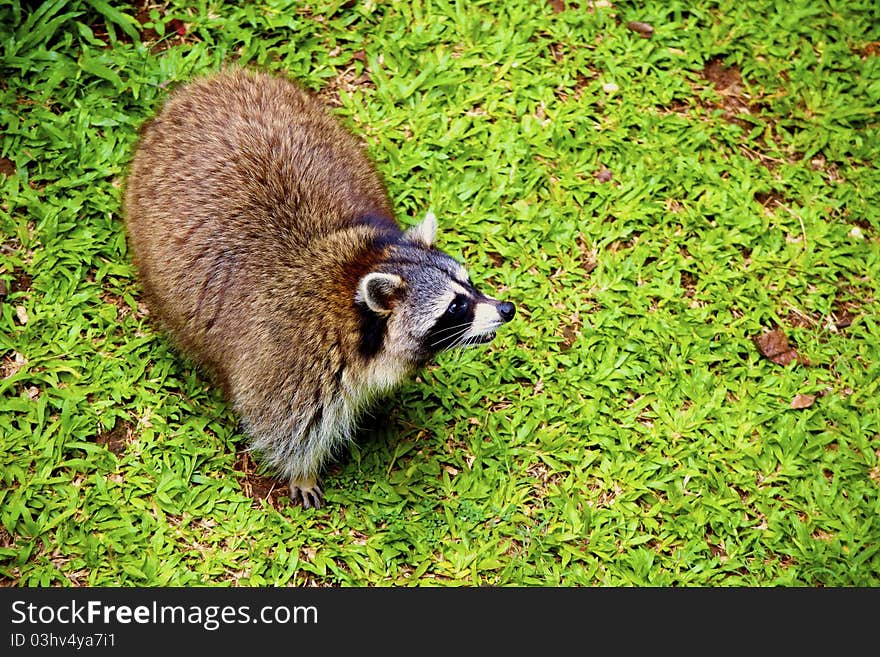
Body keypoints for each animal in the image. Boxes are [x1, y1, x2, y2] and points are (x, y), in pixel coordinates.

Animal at [120, 68, 512, 508]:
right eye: (456, 307)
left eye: (470, 284)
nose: (506, 309)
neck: (355, 271)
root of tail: (210, 81)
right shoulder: (294, 360)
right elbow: (281, 425)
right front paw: (302, 471)